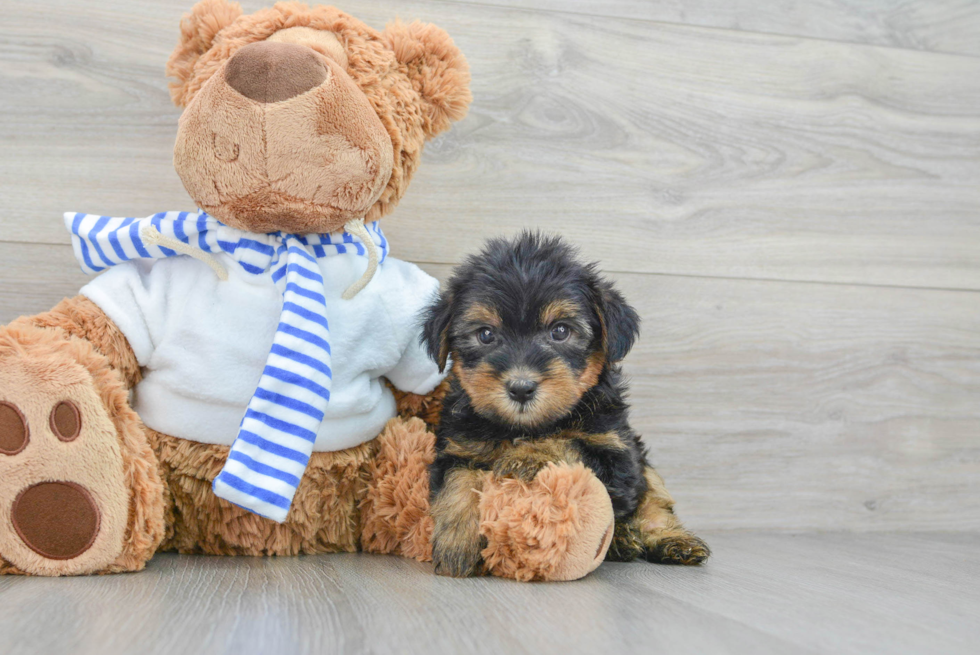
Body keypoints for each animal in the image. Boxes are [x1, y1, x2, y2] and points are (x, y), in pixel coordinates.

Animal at [424, 233, 708, 576]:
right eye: (486, 334)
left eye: (560, 331)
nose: (521, 388)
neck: (525, 427)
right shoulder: (458, 447)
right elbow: (458, 480)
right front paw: (457, 540)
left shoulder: (616, 453)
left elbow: (568, 443)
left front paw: (528, 455)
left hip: (641, 463)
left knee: (654, 500)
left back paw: (669, 541)